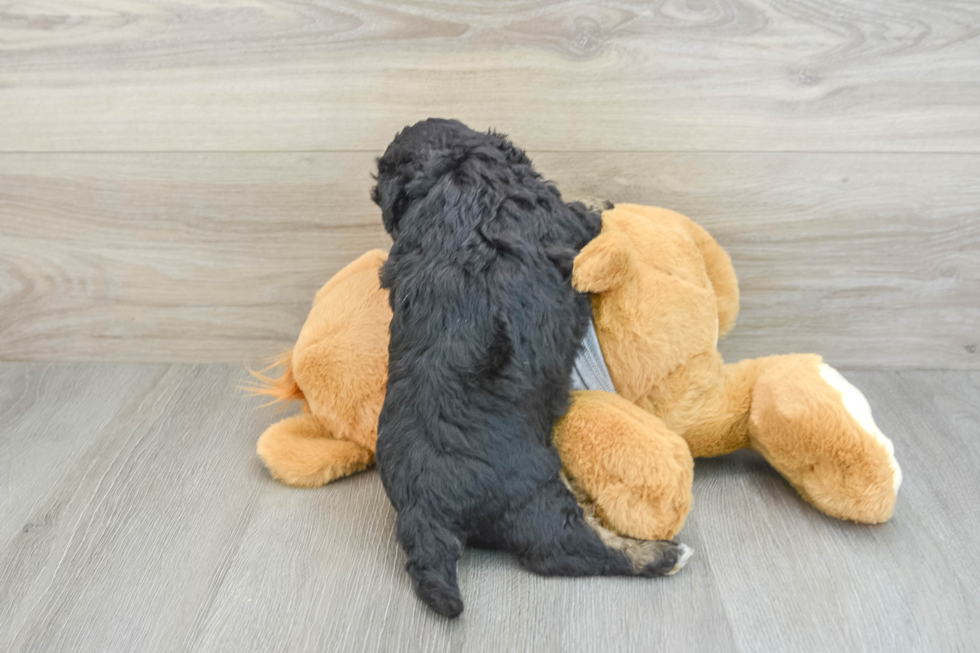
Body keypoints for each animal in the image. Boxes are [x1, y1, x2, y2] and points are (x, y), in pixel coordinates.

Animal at [374, 118, 688, 616]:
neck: (450, 175)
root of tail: (424, 510)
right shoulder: (563, 218)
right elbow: (584, 212)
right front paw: (601, 198)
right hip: (532, 496)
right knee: (567, 548)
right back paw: (661, 554)